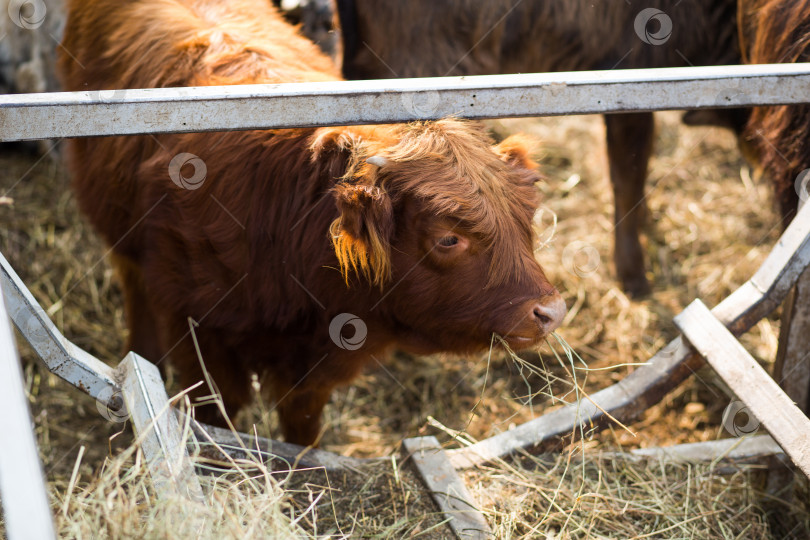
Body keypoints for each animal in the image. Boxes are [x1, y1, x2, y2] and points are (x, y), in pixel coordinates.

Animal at [58, 0, 560, 446]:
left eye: (525, 217)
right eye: (449, 239)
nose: (551, 311)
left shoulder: (315, 368)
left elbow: (302, 427)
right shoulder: (198, 335)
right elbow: (217, 416)